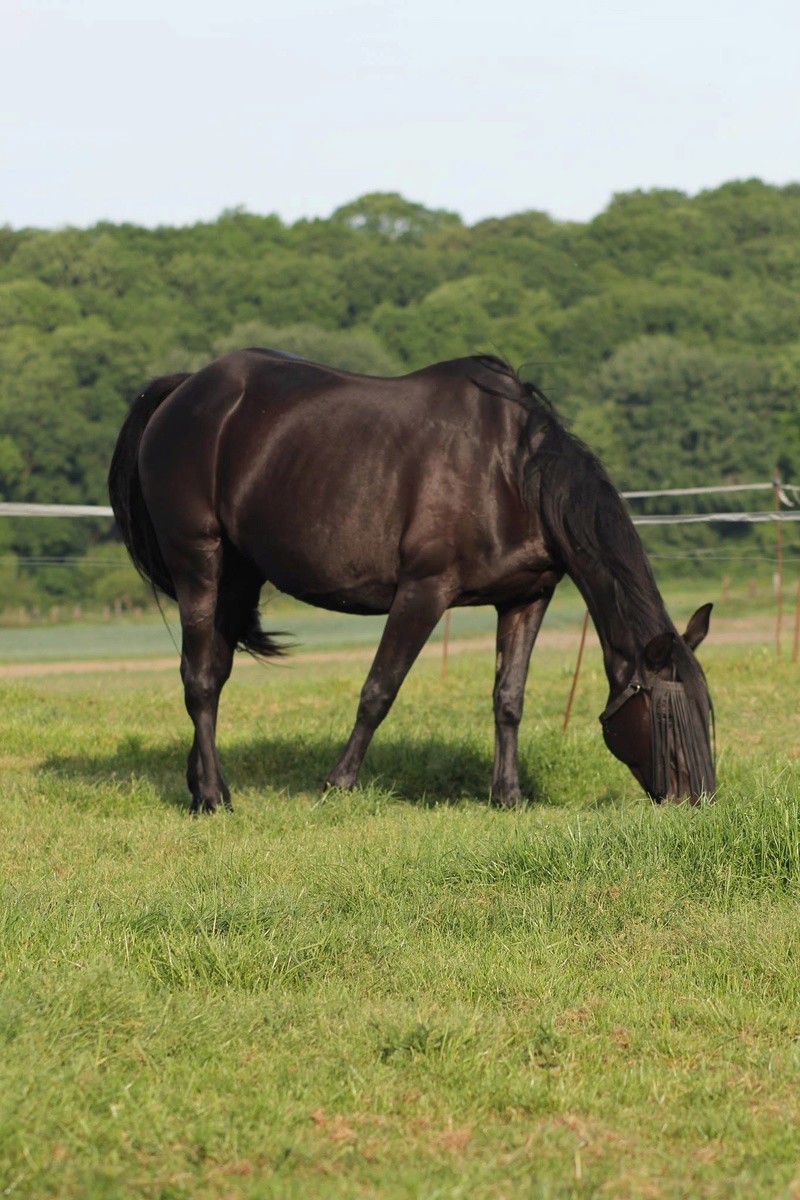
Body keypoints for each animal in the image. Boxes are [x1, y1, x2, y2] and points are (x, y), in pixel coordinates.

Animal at [109, 350, 714, 811]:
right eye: (667, 714)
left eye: (708, 711)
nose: (699, 802)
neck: (512, 473)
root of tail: (184, 390)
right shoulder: (424, 592)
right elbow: (379, 690)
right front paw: (338, 784)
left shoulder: (527, 598)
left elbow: (509, 697)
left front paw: (507, 796)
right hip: (199, 561)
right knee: (199, 678)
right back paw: (214, 797)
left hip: (239, 574)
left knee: (214, 671)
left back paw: (200, 784)